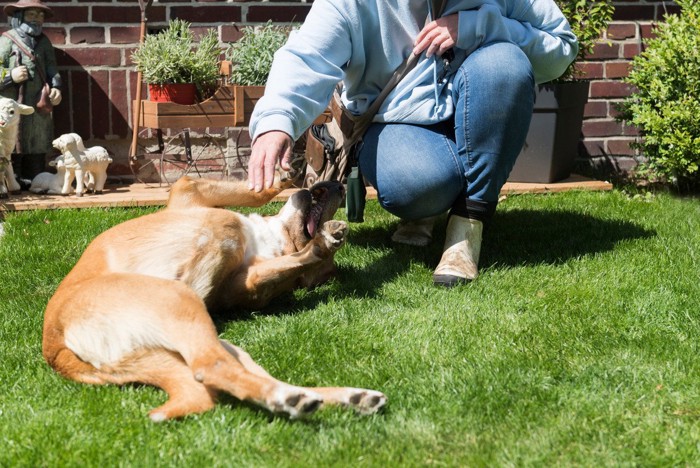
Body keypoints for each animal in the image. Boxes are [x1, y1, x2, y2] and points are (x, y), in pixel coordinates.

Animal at [42, 172, 388, 420]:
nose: (340, 185)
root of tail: (55, 348)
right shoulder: (189, 193)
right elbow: (254, 192)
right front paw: (285, 174)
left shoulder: (245, 277)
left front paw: (321, 244)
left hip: (192, 316)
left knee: (210, 368)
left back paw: (325, 398)